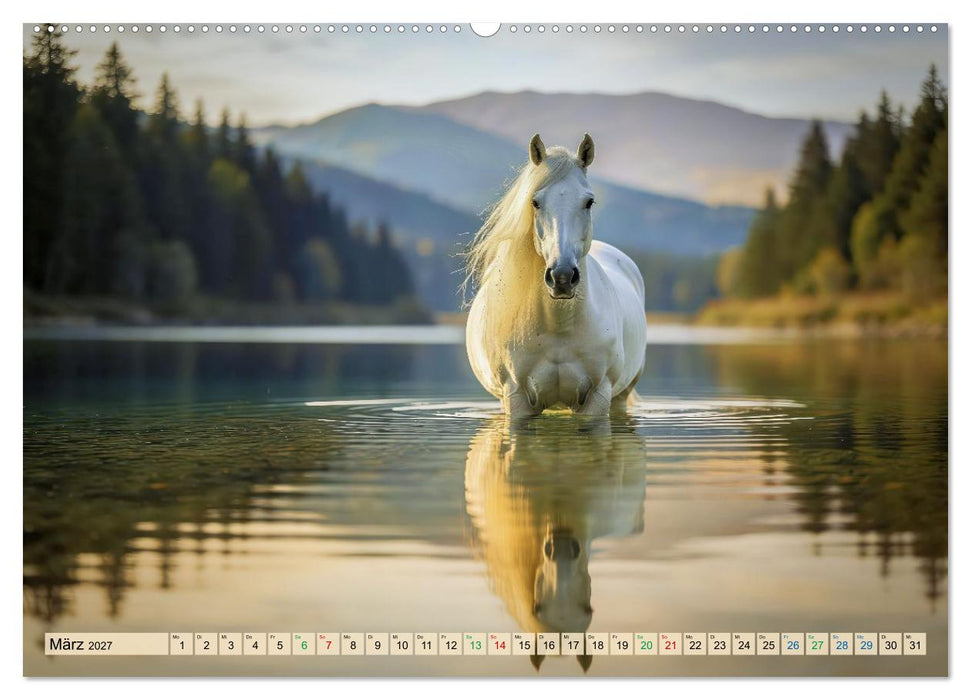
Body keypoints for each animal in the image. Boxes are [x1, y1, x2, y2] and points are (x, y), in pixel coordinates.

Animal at [464, 133, 647, 418]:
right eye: (535, 202)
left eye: (589, 201)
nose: (562, 276)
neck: (559, 325)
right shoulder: (516, 399)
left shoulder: (598, 398)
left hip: (621, 396)